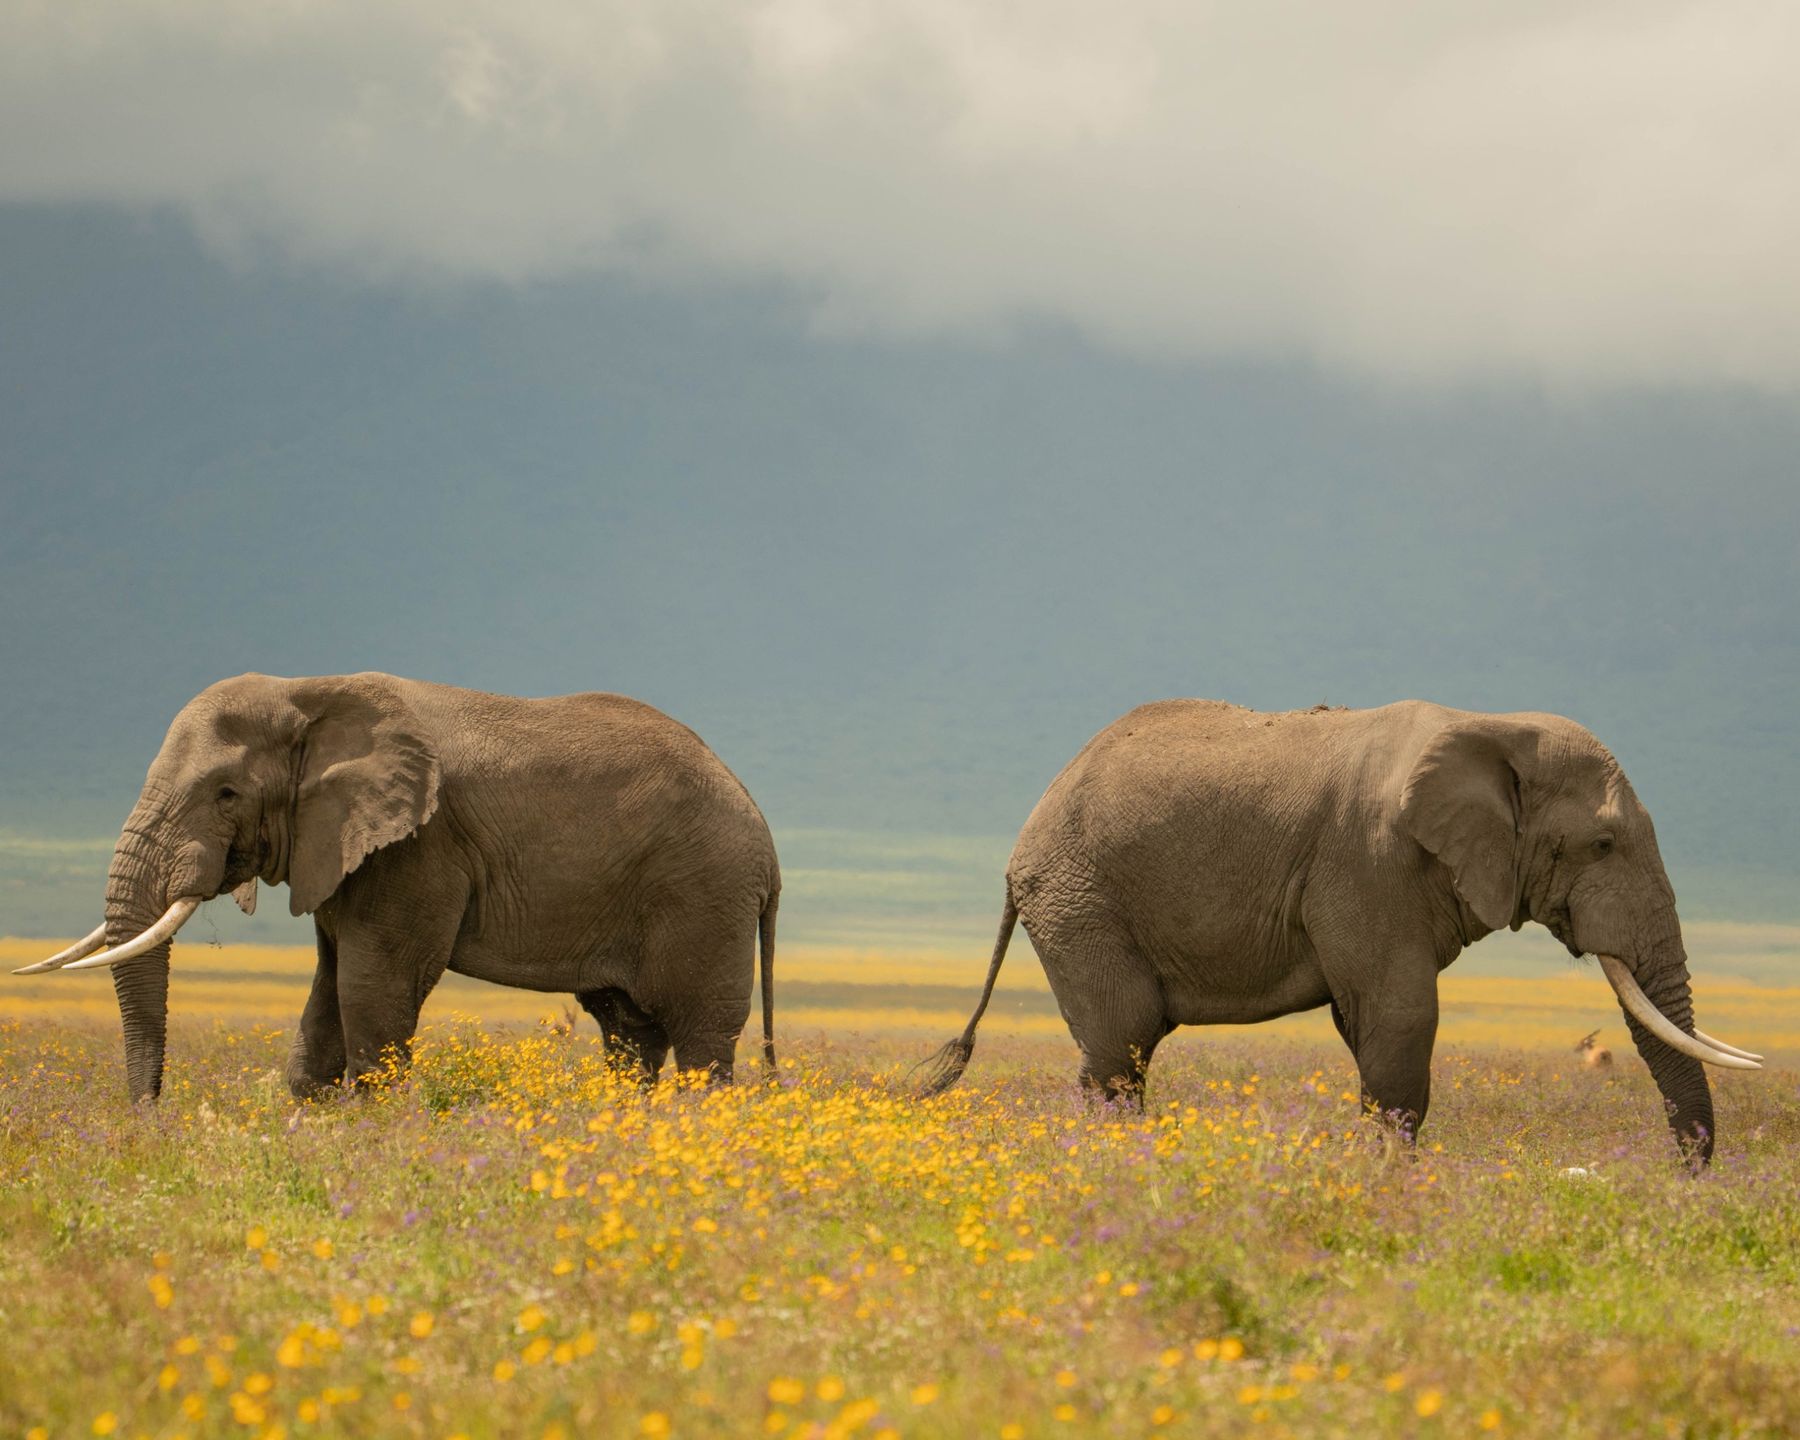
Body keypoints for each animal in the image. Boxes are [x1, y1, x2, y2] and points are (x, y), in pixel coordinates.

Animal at [17, 672, 781, 1103]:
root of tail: (765, 837)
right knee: (629, 1032)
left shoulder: (417, 848)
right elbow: (328, 990)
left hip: (704, 892)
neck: (310, 691)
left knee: (700, 1039)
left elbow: (372, 986)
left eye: (226, 793)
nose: (151, 1120)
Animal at [920, 700, 1759, 1163]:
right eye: (1604, 845)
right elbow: (1401, 1016)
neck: (1490, 725)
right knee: (1120, 1046)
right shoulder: (1367, 859)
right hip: (1079, 898)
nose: (1683, 1178)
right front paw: (1391, 1184)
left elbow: (1365, 1025)